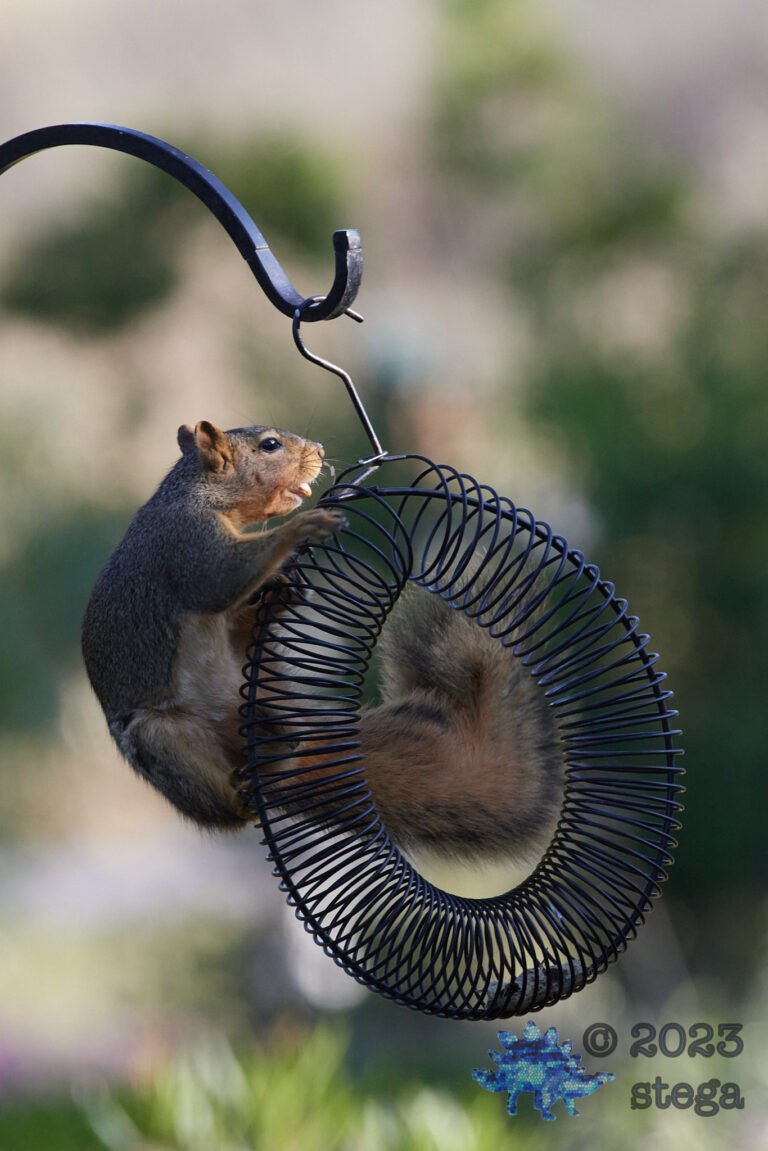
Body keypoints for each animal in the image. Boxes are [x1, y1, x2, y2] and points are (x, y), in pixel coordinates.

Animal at [82, 420, 563, 862]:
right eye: (270, 445)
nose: (318, 450)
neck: (202, 494)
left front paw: (283, 584)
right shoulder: (184, 540)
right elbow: (218, 578)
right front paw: (303, 526)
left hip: (268, 696)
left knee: (281, 745)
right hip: (160, 741)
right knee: (233, 811)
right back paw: (242, 793)